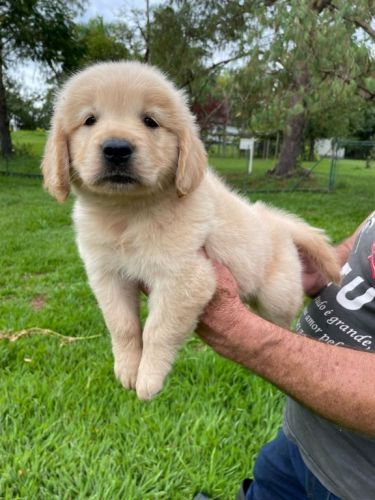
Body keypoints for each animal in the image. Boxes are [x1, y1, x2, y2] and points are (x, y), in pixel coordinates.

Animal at [42, 60, 342, 400]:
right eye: (89, 120)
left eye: (150, 121)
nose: (117, 149)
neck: (128, 213)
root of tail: (275, 221)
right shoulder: (107, 274)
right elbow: (122, 325)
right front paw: (128, 368)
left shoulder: (184, 277)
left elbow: (158, 329)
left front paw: (149, 378)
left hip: (277, 293)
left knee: (283, 318)